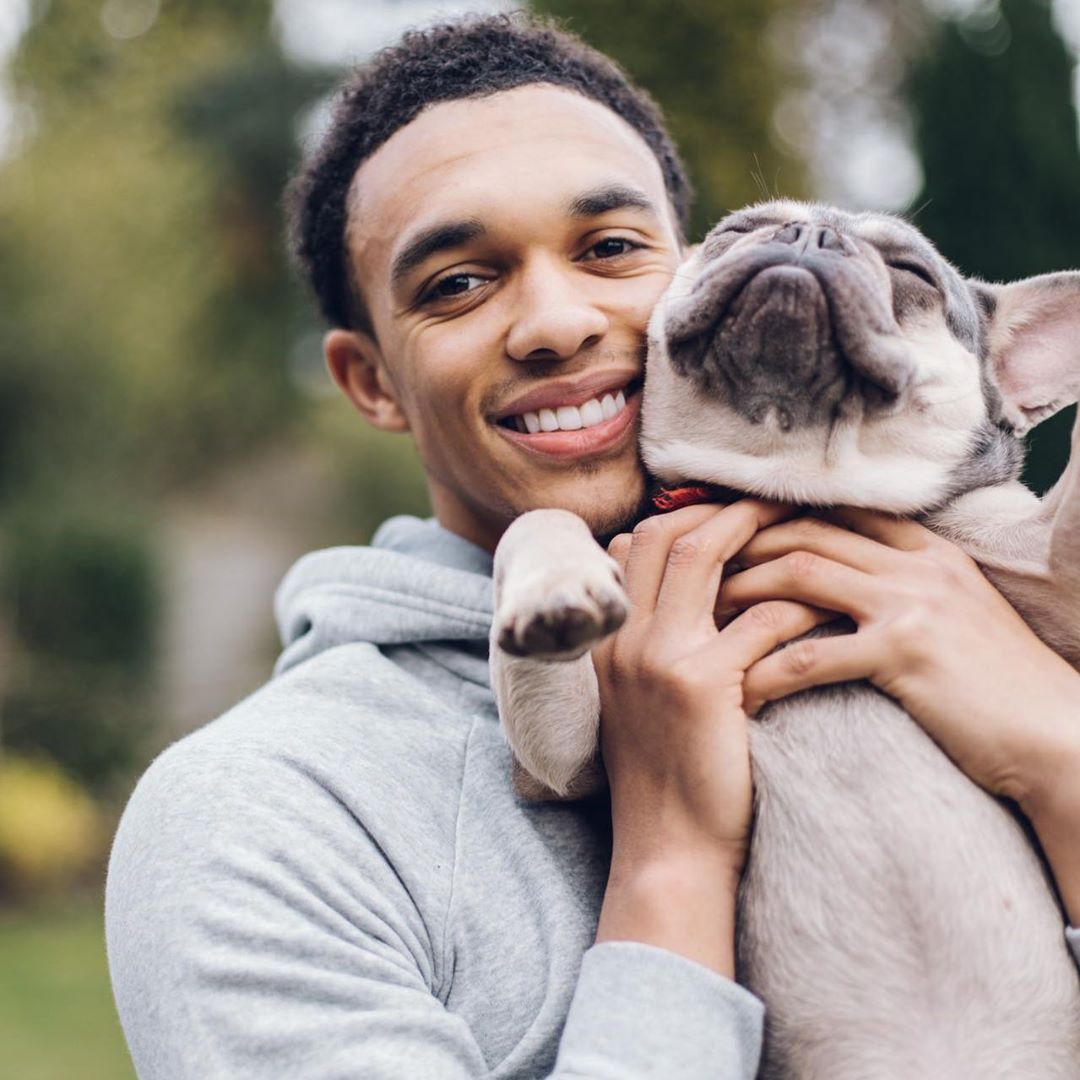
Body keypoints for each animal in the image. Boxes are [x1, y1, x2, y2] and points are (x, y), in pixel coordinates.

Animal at [490, 203, 1080, 1080]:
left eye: (912, 274)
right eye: (737, 232)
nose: (809, 238)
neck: (793, 487)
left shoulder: (1042, 560)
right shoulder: (561, 761)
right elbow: (537, 517)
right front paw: (556, 588)